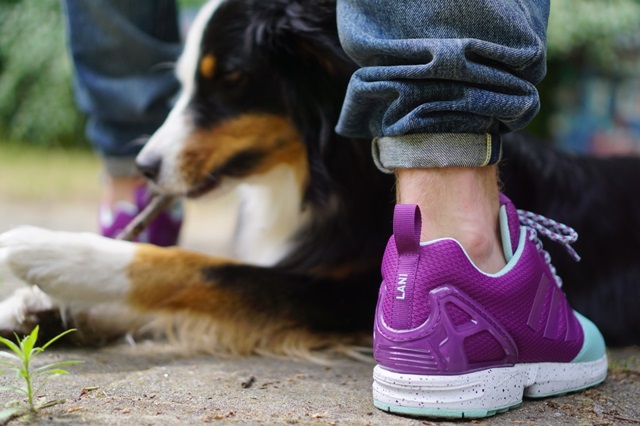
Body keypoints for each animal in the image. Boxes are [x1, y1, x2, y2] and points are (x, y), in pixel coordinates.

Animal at [0, 0, 636, 354]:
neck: (325, 173)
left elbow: (200, 270)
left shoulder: (340, 295)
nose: (145, 169)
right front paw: (38, 310)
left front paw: (48, 252)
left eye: (230, 78)